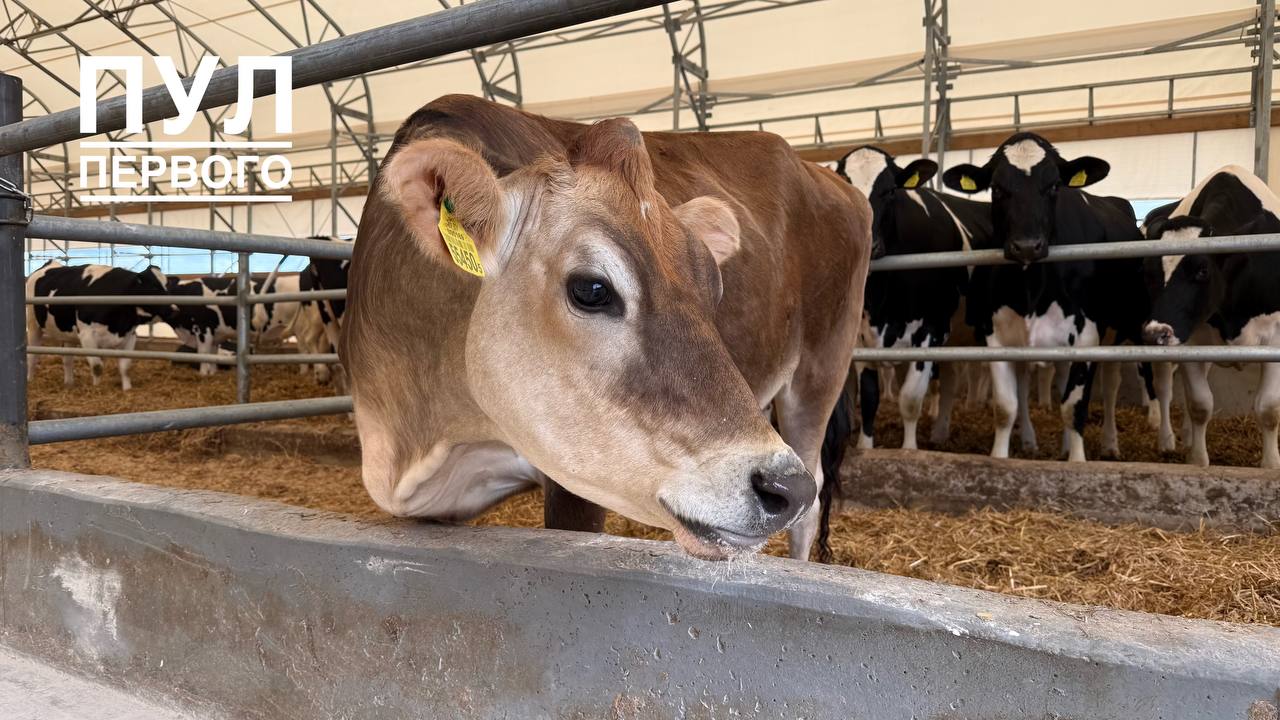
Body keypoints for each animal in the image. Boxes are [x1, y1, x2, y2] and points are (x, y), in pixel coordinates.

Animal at [26, 260, 170, 391]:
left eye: (166, 286)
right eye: (154, 287)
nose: (172, 308)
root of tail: (51, 263)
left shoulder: (129, 335)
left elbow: (125, 367)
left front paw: (127, 389)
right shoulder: (87, 335)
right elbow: (97, 366)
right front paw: (97, 387)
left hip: (67, 334)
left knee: (67, 359)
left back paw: (69, 384)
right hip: (33, 325)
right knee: (32, 355)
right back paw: (30, 380)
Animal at [942, 132, 1165, 461]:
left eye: (1053, 186)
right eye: (997, 188)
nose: (1026, 246)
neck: (1032, 291)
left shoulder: (1087, 338)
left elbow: (1073, 409)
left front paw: (1077, 460)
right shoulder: (998, 336)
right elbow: (1006, 408)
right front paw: (1000, 456)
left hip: (1131, 321)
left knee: (1123, 380)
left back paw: (1129, 437)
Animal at [1142, 165, 1280, 468]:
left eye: (1202, 270)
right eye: (1151, 269)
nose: (1155, 333)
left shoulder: (1276, 338)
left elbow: (1268, 408)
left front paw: (1270, 465)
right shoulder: (1190, 341)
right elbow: (1200, 404)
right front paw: (1198, 461)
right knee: (1165, 386)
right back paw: (1167, 439)